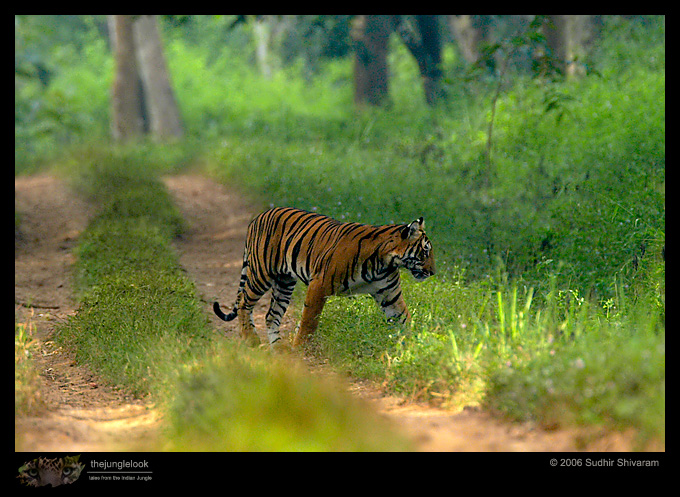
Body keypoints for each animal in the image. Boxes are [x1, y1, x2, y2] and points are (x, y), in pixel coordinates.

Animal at [213, 207, 435, 349]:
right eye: (425, 251)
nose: (433, 272)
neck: (385, 262)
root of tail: (258, 216)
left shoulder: (390, 296)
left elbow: (405, 321)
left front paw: (416, 349)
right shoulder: (319, 285)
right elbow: (308, 322)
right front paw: (299, 350)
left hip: (284, 282)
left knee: (271, 316)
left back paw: (279, 349)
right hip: (261, 273)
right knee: (244, 302)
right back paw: (250, 339)